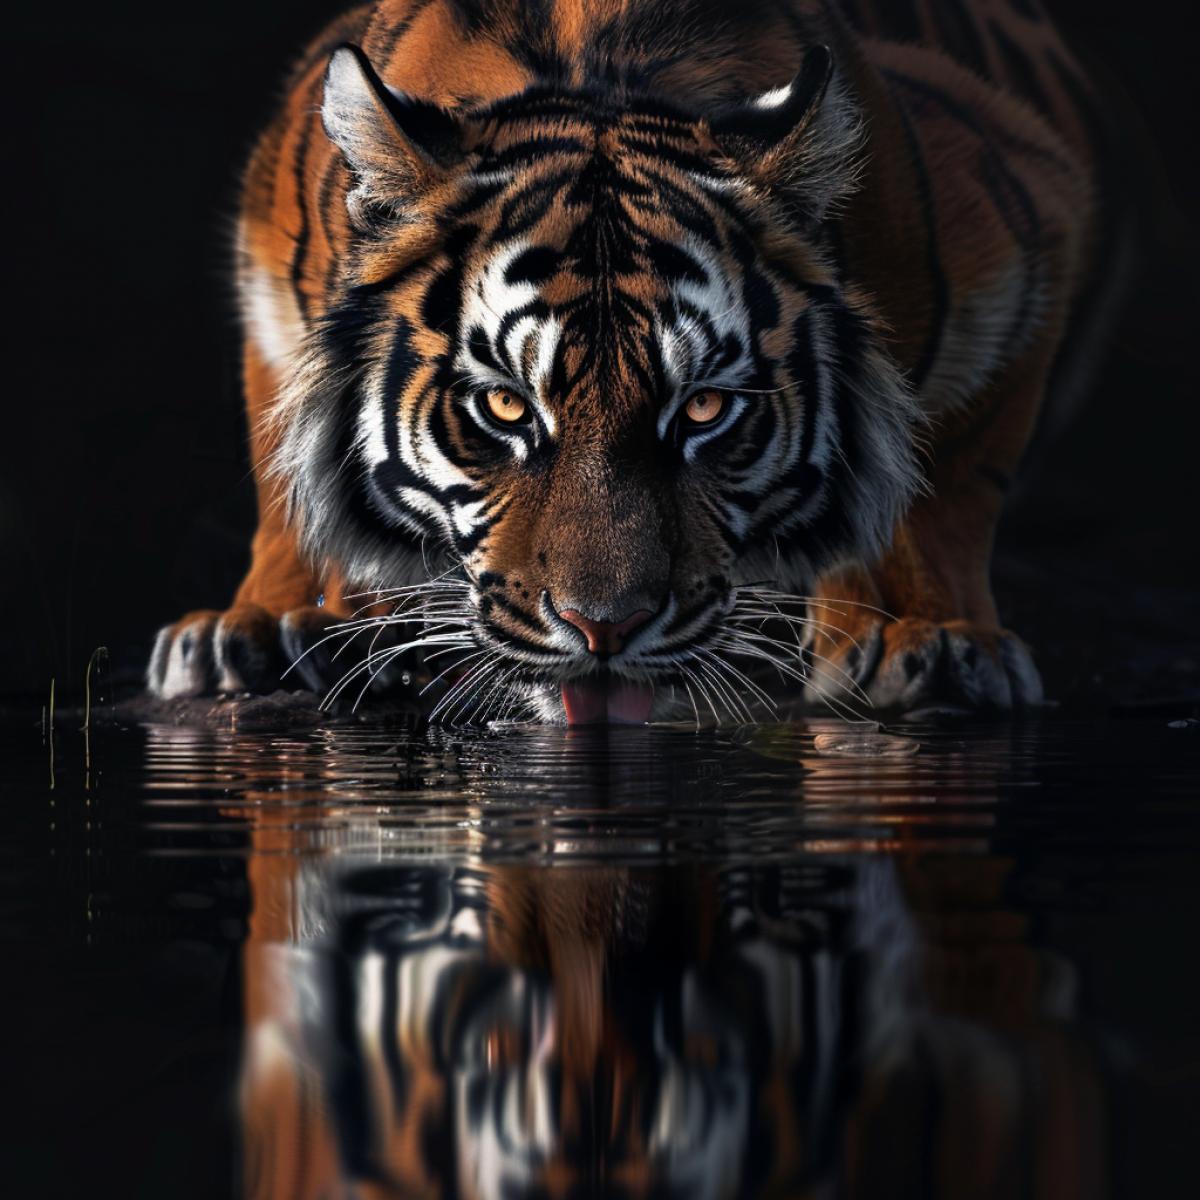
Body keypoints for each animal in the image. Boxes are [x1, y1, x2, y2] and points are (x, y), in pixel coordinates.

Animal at [146, 0, 1116, 722]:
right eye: (504, 407)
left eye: (705, 409)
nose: (604, 630)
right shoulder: (264, 257)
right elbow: (288, 469)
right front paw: (270, 624)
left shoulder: (1029, 222)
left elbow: (936, 477)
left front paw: (923, 635)